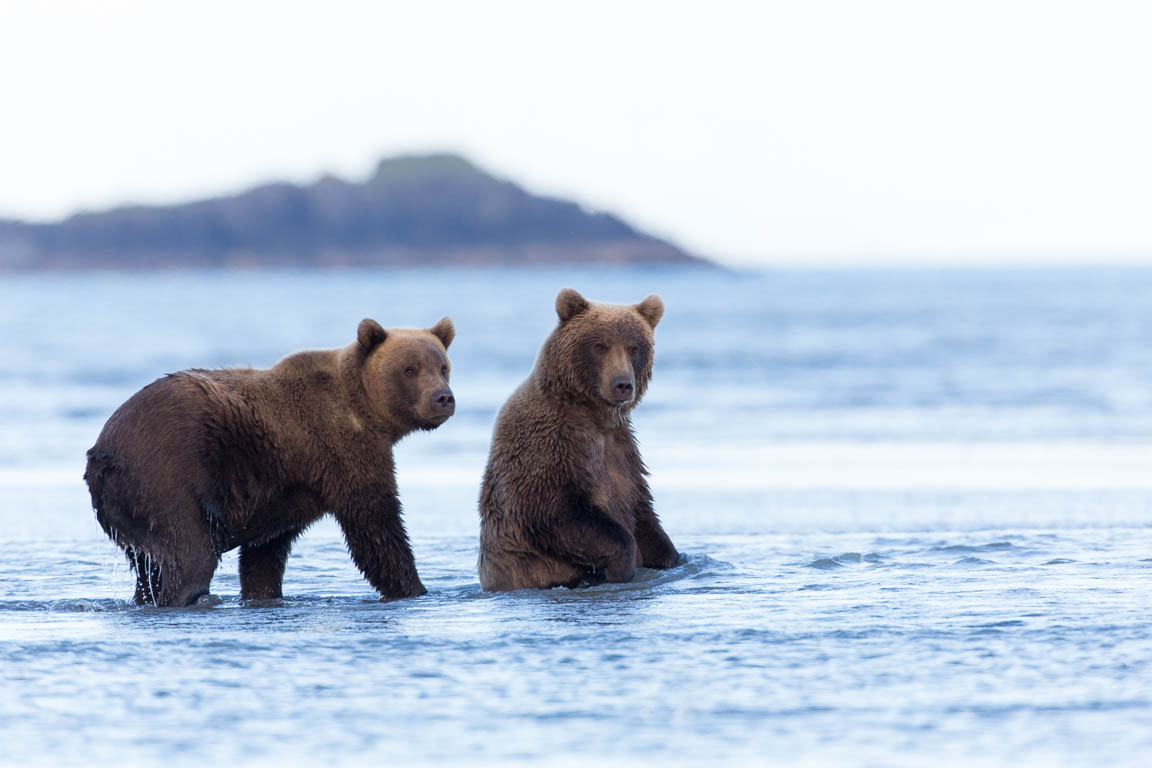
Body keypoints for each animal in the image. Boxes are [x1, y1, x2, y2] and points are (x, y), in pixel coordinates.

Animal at [82, 317, 453, 607]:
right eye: (410, 369)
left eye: (443, 366)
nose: (443, 398)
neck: (365, 410)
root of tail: (101, 454)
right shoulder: (341, 447)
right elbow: (375, 524)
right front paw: (414, 588)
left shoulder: (286, 491)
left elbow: (265, 554)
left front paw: (263, 592)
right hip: (165, 479)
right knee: (188, 556)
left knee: (149, 570)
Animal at [479, 285, 677, 594]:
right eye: (600, 345)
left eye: (634, 347)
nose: (623, 384)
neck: (593, 416)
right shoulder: (548, 448)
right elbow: (555, 513)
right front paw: (623, 563)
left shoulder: (622, 454)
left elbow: (643, 513)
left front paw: (667, 555)